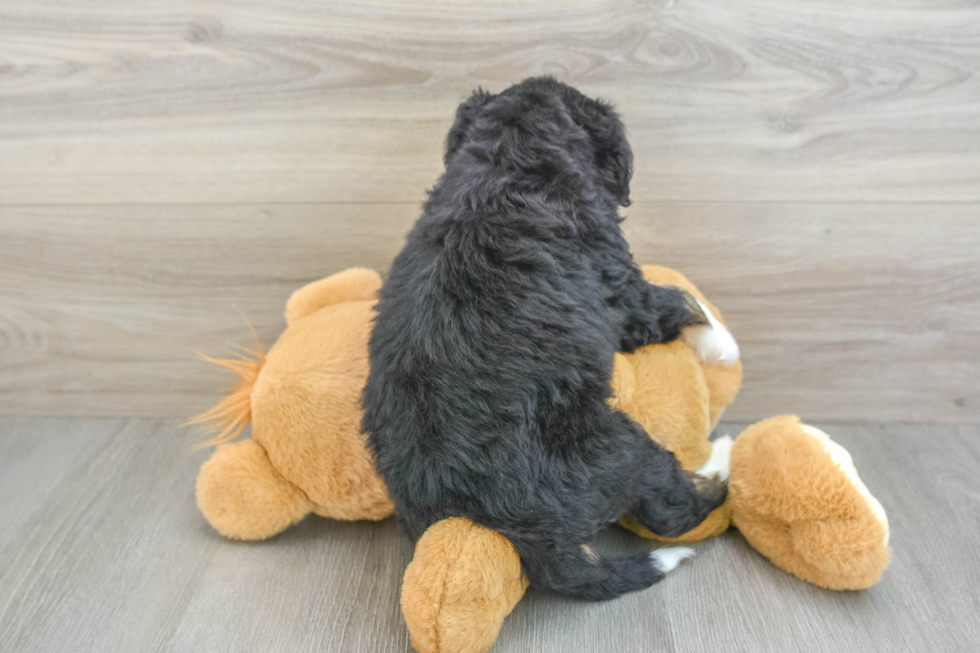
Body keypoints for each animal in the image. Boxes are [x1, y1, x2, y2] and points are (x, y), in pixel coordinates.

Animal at [364, 77, 740, 600]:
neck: (509, 162)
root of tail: (523, 532)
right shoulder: (622, 288)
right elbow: (681, 299)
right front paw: (723, 345)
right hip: (615, 448)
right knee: (671, 509)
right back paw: (720, 460)